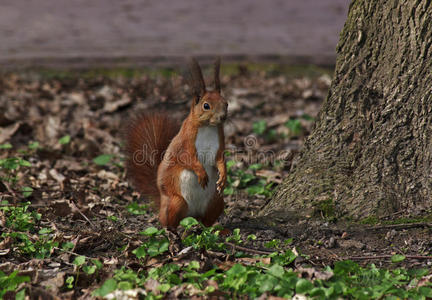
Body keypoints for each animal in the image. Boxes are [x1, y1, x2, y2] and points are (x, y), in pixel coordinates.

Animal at [125, 57, 228, 229]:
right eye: (206, 105)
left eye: (226, 103)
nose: (222, 117)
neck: (207, 127)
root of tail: (192, 214)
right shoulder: (184, 142)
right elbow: (186, 158)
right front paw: (201, 173)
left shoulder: (219, 142)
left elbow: (220, 159)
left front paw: (224, 176)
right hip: (176, 202)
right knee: (167, 222)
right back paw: (173, 231)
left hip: (216, 201)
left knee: (205, 222)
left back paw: (215, 229)